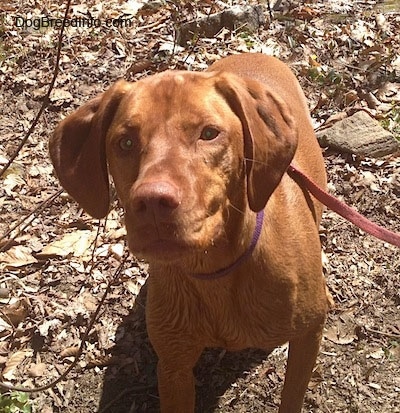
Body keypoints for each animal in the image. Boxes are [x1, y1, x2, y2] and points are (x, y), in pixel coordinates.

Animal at [50, 53, 332, 410]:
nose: (153, 202)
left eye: (209, 133)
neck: (215, 272)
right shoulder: (174, 367)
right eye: (125, 142)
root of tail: (254, 54)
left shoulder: (308, 335)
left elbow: (291, 398)